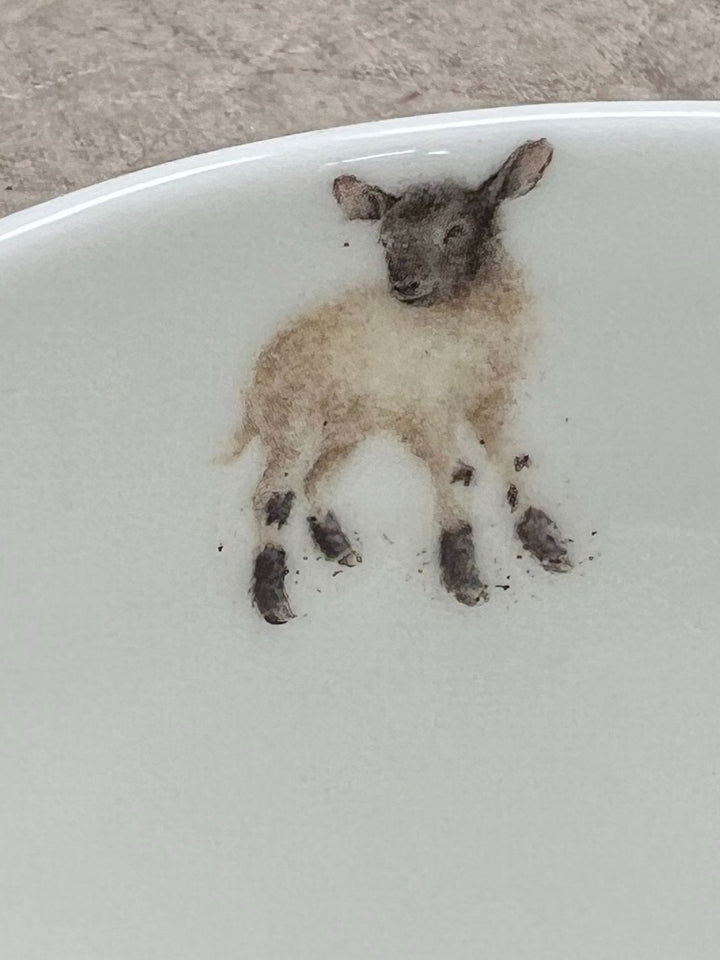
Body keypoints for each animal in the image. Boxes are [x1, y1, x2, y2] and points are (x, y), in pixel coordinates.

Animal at [227, 138, 571, 624]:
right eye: (385, 240)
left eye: (455, 230)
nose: (403, 284)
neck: (459, 323)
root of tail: (253, 387)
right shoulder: (428, 411)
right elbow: (457, 475)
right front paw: (465, 581)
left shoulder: (492, 397)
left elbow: (515, 462)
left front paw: (549, 548)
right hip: (294, 428)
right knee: (272, 499)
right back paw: (273, 601)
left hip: (343, 432)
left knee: (315, 482)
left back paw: (339, 549)